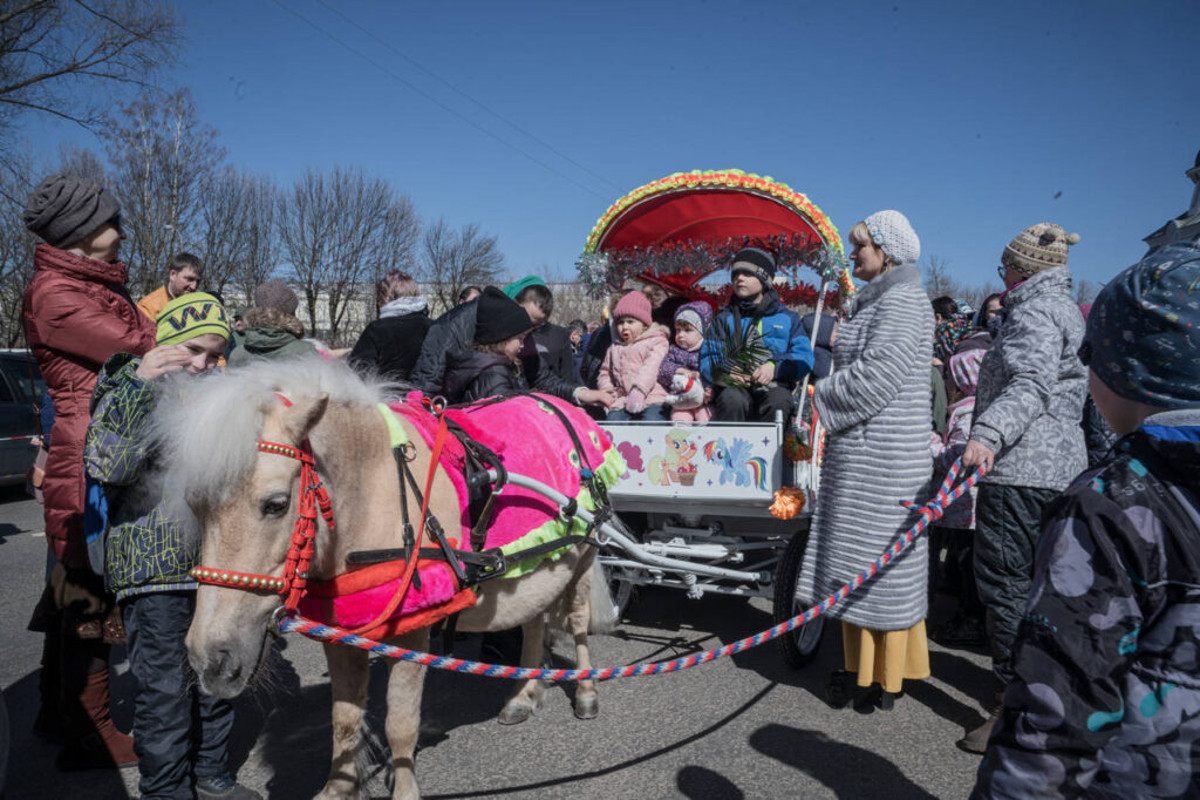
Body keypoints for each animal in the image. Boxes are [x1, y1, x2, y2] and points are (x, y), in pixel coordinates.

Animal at [164, 357, 614, 800]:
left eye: (275, 504)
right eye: (194, 505)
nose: (211, 659)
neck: (372, 493)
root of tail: (564, 407)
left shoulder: (412, 630)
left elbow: (400, 723)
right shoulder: (342, 632)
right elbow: (344, 718)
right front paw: (339, 788)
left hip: (584, 554)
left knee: (576, 620)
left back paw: (587, 693)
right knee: (534, 620)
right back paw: (524, 694)